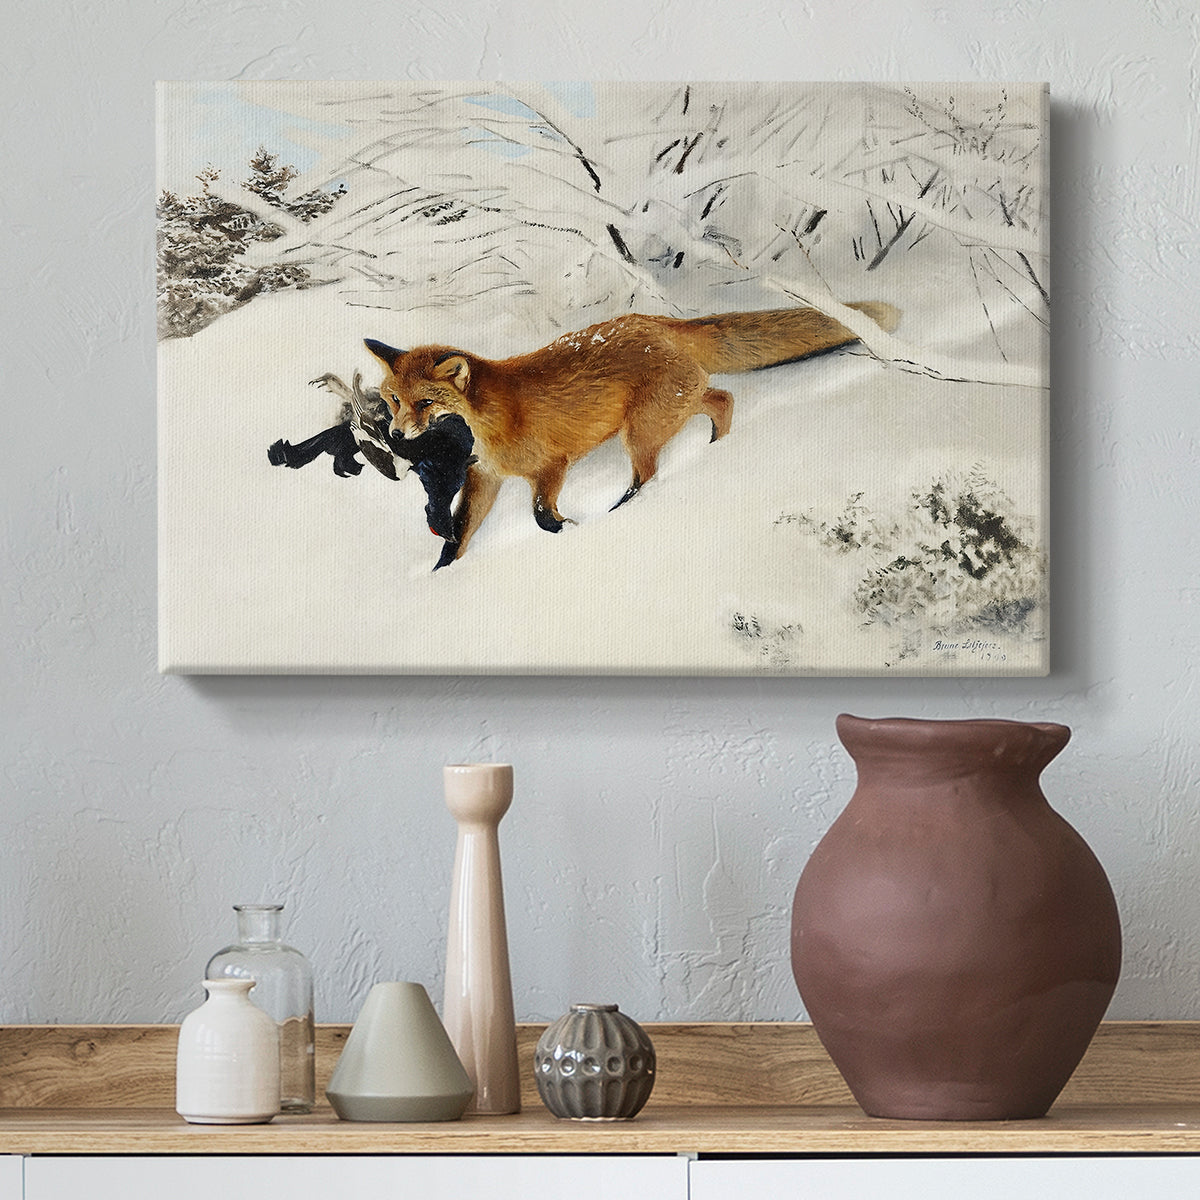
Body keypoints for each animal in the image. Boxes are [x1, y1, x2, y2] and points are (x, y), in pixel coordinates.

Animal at [365, 300, 900, 565]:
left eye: (425, 403)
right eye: (393, 399)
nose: (396, 433)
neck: (490, 419)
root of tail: (660, 322)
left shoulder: (551, 466)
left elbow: (540, 515)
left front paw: (570, 528)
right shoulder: (486, 477)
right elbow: (458, 535)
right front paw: (443, 574)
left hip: (640, 432)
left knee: (649, 474)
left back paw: (625, 509)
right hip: (670, 411)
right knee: (723, 399)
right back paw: (717, 448)